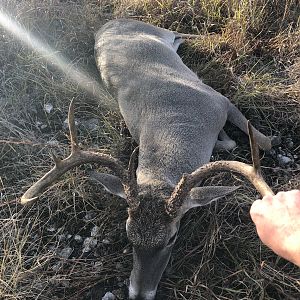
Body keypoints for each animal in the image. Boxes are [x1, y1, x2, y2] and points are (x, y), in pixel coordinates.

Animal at [21, 19, 274, 300]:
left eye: (172, 238)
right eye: (129, 234)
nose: (139, 294)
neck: (179, 124)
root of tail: (108, 24)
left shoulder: (220, 100)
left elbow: (264, 142)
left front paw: (234, 137)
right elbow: (232, 143)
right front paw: (224, 138)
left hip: (156, 31)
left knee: (177, 33)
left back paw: (213, 38)